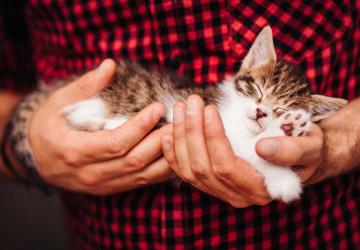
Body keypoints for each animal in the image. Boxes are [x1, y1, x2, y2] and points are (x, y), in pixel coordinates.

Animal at [8, 26, 348, 203]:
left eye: (282, 107)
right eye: (257, 89)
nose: (262, 112)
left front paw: (289, 128)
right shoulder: (212, 115)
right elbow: (247, 144)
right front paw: (283, 168)